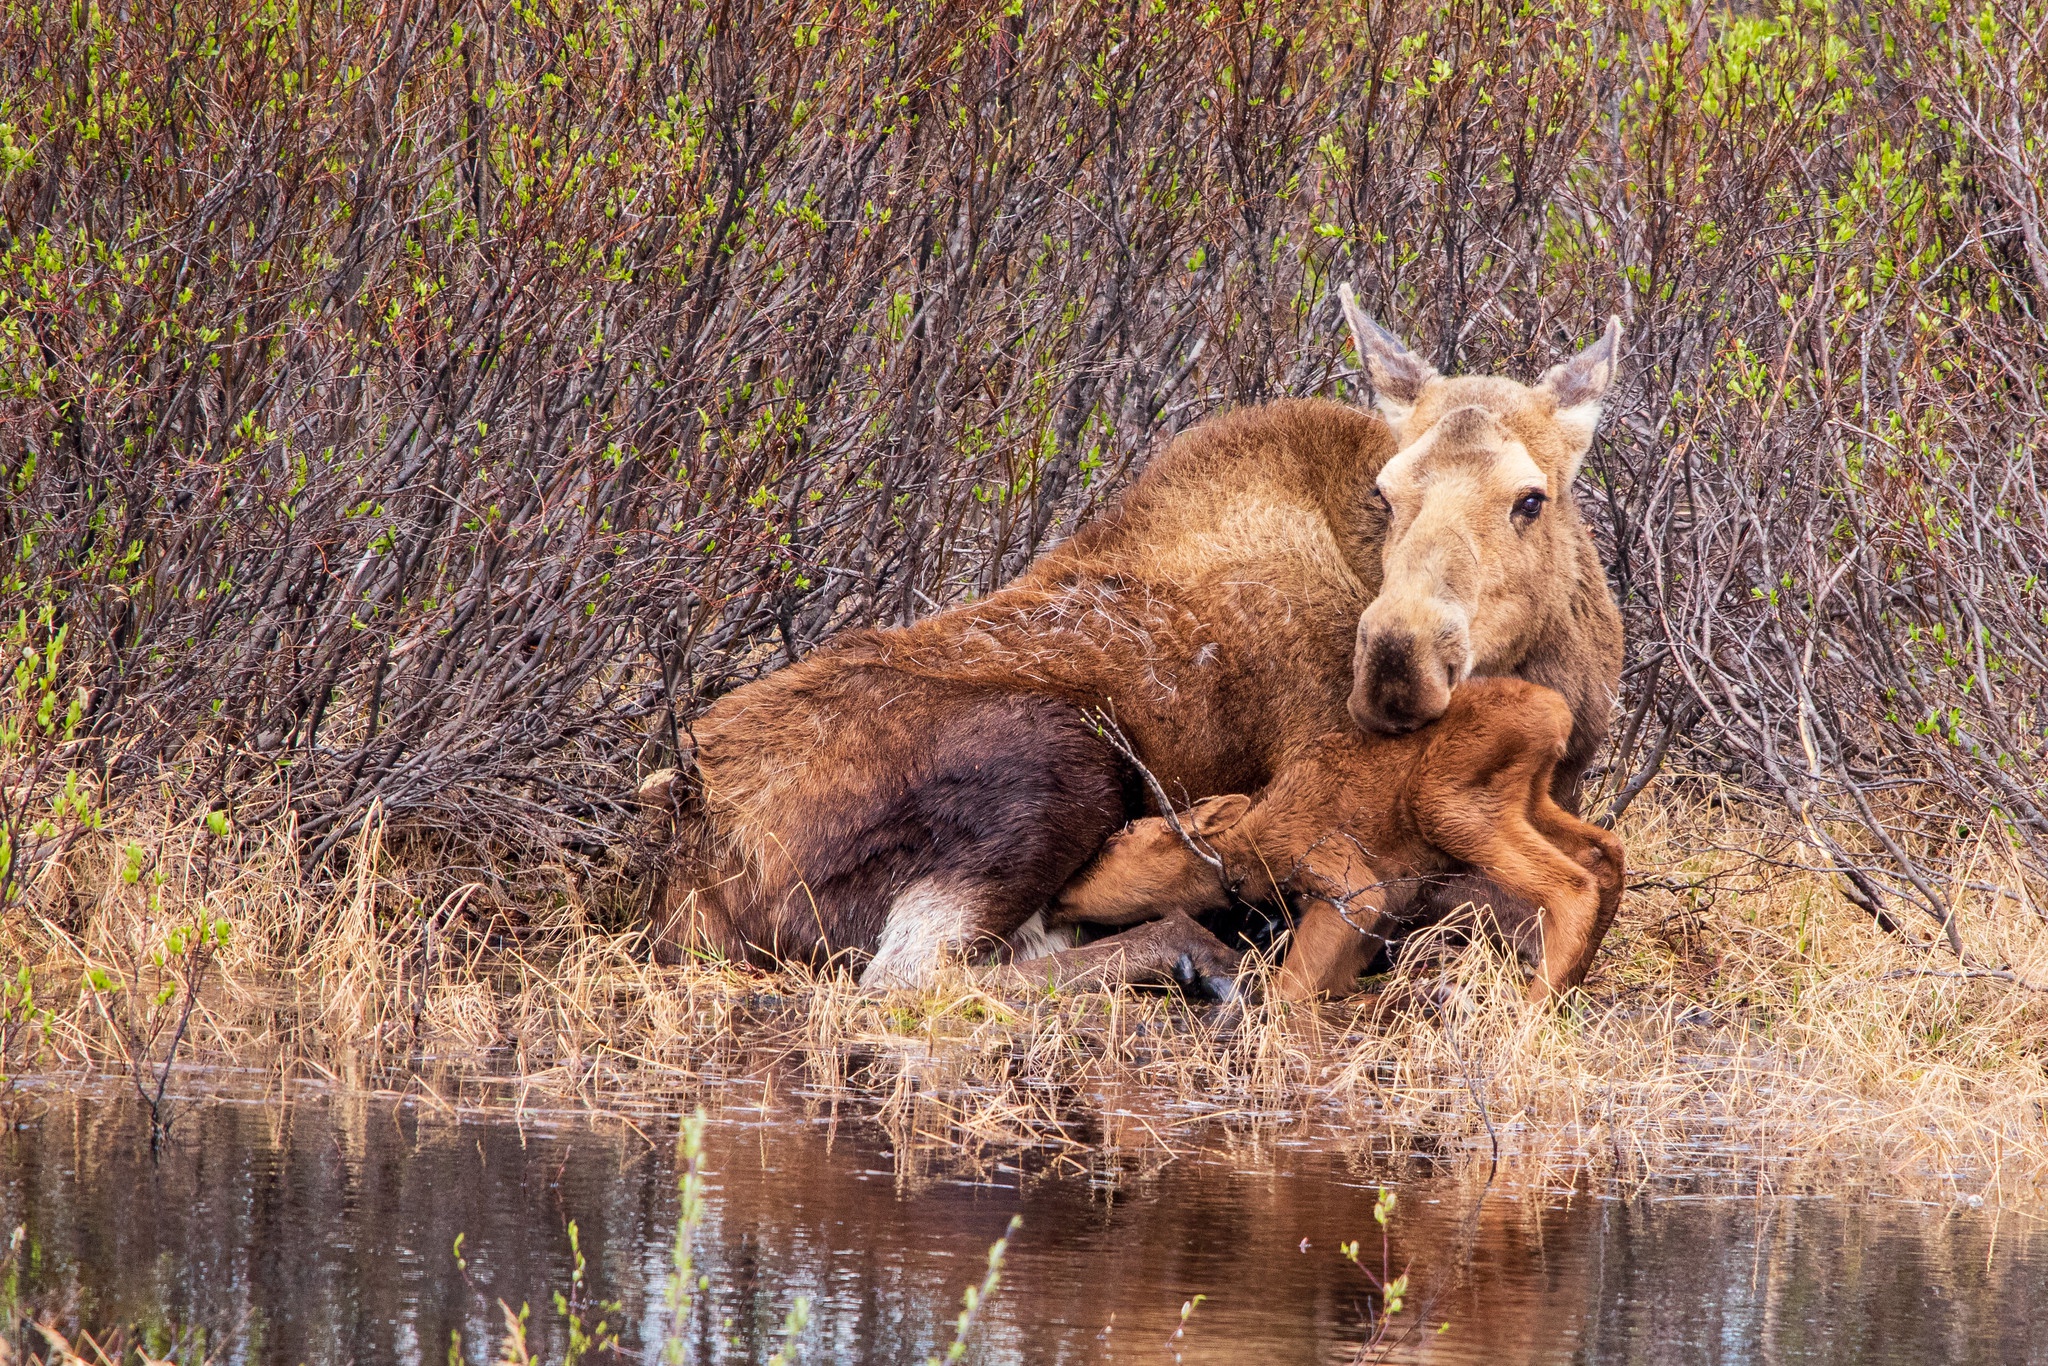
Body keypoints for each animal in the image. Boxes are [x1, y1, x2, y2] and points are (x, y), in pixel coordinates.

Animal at [1048, 675, 1622, 1003]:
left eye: (1119, 837)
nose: (1059, 894)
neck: (1246, 855)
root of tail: (1556, 713)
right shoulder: (1388, 901)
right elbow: (1332, 983)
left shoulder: (1346, 880)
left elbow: (1291, 989)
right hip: (1529, 799)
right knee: (1606, 852)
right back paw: (1570, 989)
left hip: (1448, 802)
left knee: (1570, 884)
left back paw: (1533, 1009)